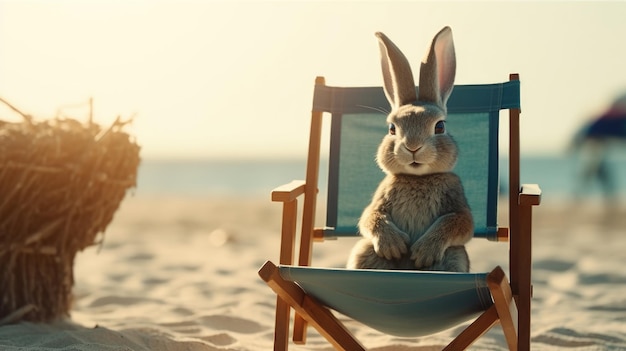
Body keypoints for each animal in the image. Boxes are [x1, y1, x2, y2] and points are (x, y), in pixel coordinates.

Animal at [346, 27, 472, 274]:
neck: (418, 178)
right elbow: (370, 216)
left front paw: (423, 251)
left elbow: (458, 222)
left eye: (440, 126)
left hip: (454, 256)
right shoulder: (379, 199)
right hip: (365, 250)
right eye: (392, 128)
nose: (412, 147)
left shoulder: (457, 203)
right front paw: (394, 246)